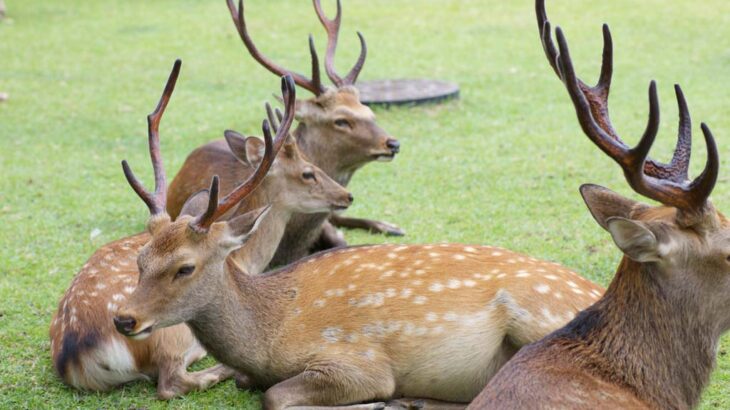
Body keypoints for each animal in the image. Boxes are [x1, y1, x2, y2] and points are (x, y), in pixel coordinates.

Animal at [49, 60, 350, 399]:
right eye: (308, 172)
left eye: (141, 261)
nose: (346, 195)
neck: (244, 259)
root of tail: (75, 354)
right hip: (169, 333)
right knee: (171, 382)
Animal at [113, 66, 607, 408]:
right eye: (140, 260)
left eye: (185, 267)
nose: (124, 319)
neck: (269, 335)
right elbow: (247, 380)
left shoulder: (357, 361)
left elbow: (276, 395)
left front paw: (376, 402)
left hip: (538, 314)